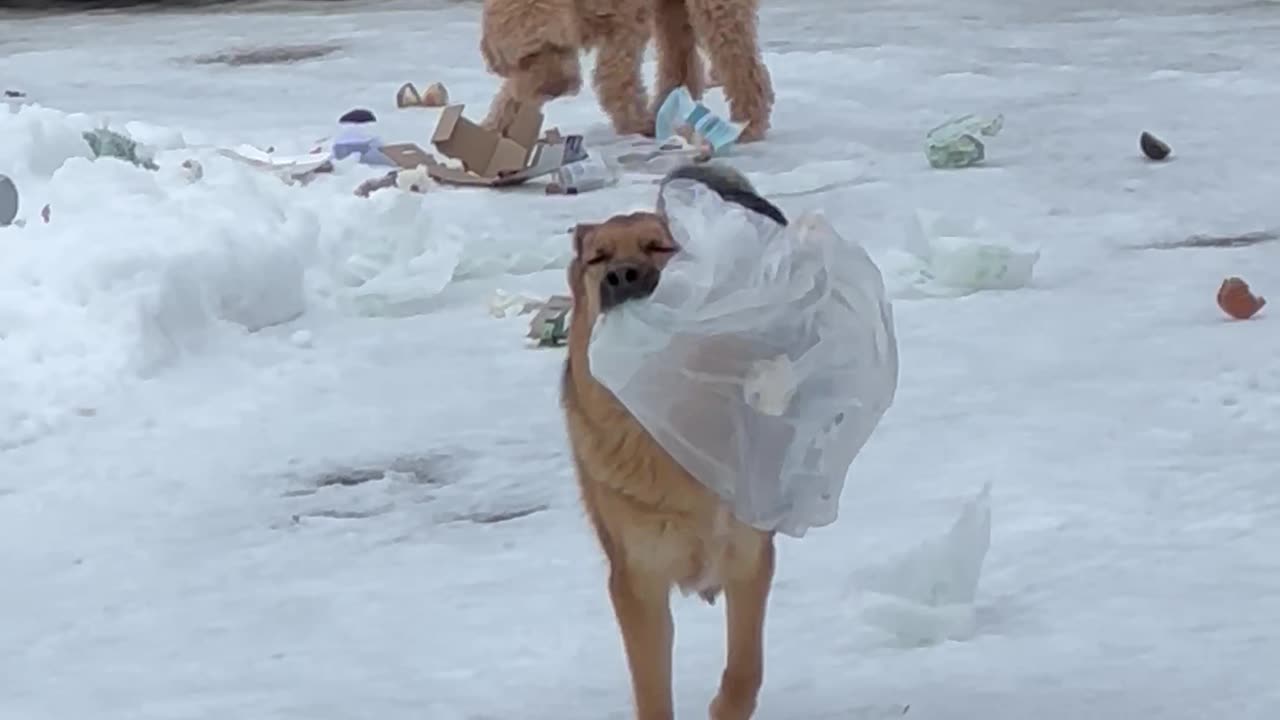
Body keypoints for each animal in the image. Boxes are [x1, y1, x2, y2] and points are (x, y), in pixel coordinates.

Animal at [481, 0, 773, 142]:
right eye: (525, 58)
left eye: (555, 45)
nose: (556, 90)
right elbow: (511, 94)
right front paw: (492, 128)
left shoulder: (626, 21)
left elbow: (614, 76)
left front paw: (633, 123)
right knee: (679, 54)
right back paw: (664, 108)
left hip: (715, 8)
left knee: (737, 57)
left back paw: (749, 122)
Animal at [563, 163, 788, 717]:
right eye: (599, 258)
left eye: (658, 246)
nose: (620, 276)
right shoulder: (637, 578)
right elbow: (651, 686)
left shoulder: (748, 556)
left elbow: (745, 668)